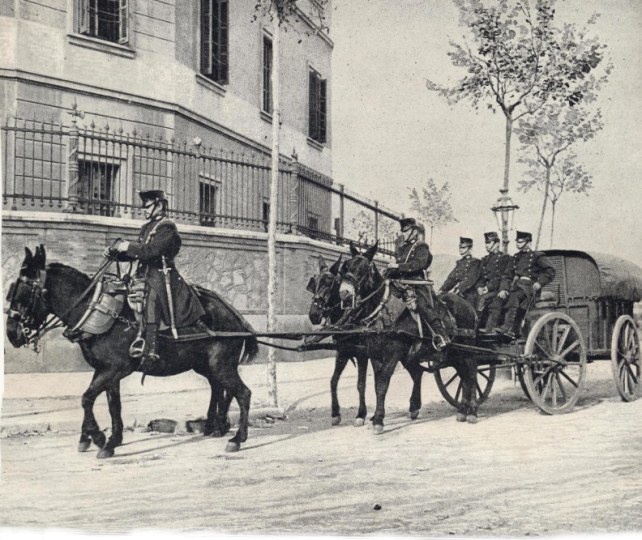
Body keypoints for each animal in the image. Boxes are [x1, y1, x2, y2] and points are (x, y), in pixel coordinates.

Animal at [5, 247, 256, 458]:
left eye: (23, 293)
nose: (11, 333)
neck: (95, 310)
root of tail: (235, 315)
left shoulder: (115, 369)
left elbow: (87, 398)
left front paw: (98, 437)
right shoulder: (106, 371)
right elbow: (111, 405)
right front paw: (108, 440)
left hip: (221, 364)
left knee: (242, 393)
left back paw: (236, 438)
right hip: (206, 365)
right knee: (219, 388)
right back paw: (217, 426)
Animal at [336, 243, 480, 432]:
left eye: (362, 269)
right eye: (346, 267)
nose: (344, 294)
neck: (383, 310)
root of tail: (468, 306)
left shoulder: (393, 353)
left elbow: (382, 384)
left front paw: (378, 420)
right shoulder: (374, 353)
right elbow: (376, 383)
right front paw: (374, 416)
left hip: (467, 350)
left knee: (471, 373)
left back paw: (472, 412)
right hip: (454, 353)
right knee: (462, 375)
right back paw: (461, 410)